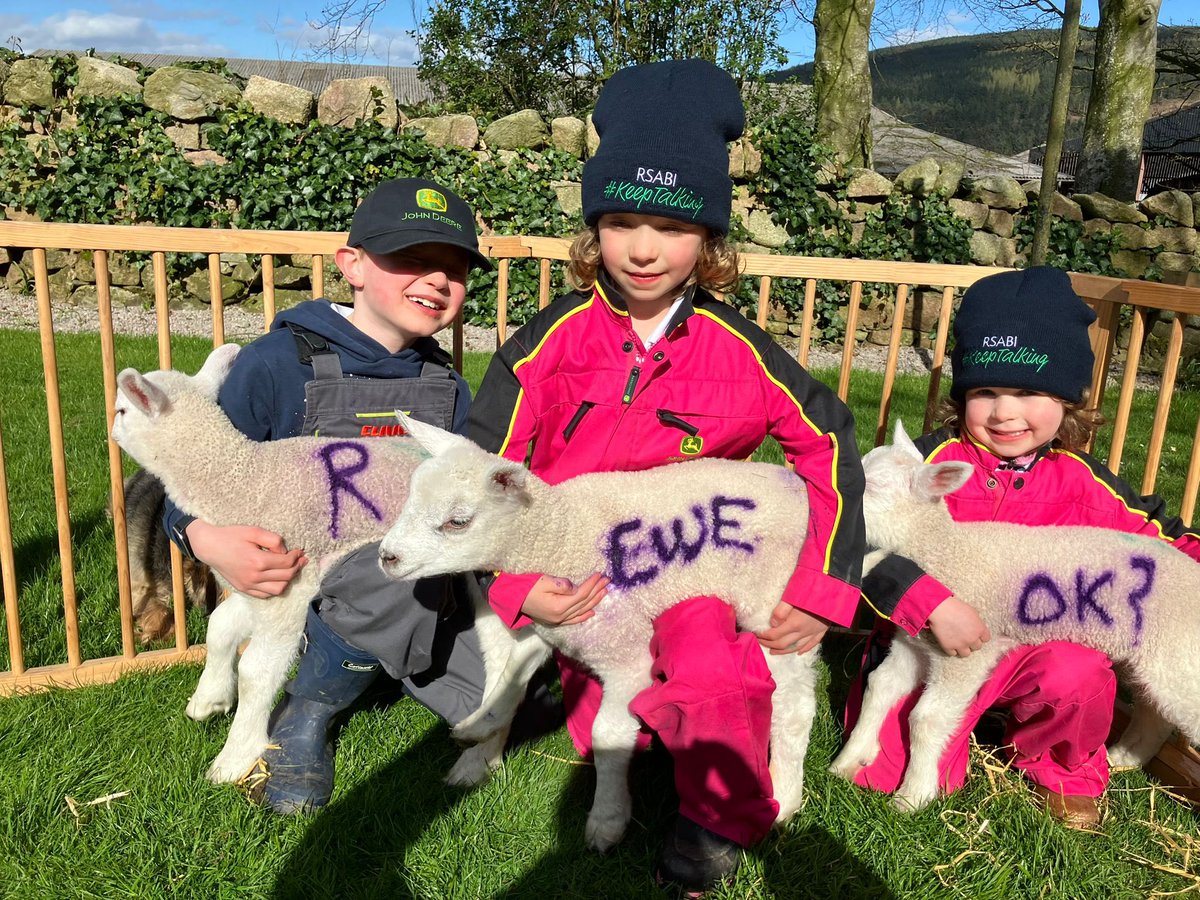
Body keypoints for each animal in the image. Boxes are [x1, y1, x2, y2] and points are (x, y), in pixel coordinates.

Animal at [379, 415, 820, 854]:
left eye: (458, 521)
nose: (386, 557)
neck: (562, 538)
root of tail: (796, 484)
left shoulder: (626, 653)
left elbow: (608, 734)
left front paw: (607, 819)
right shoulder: (548, 624)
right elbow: (507, 683)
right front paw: (478, 737)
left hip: (775, 610)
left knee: (795, 704)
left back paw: (783, 801)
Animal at [830, 427, 1200, 816]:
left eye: (874, 486)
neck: (946, 552)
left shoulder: (965, 655)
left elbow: (925, 719)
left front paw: (913, 795)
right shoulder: (913, 642)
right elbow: (880, 686)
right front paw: (849, 760)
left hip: (1179, 657)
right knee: (1155, 714)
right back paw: (1123, 757)